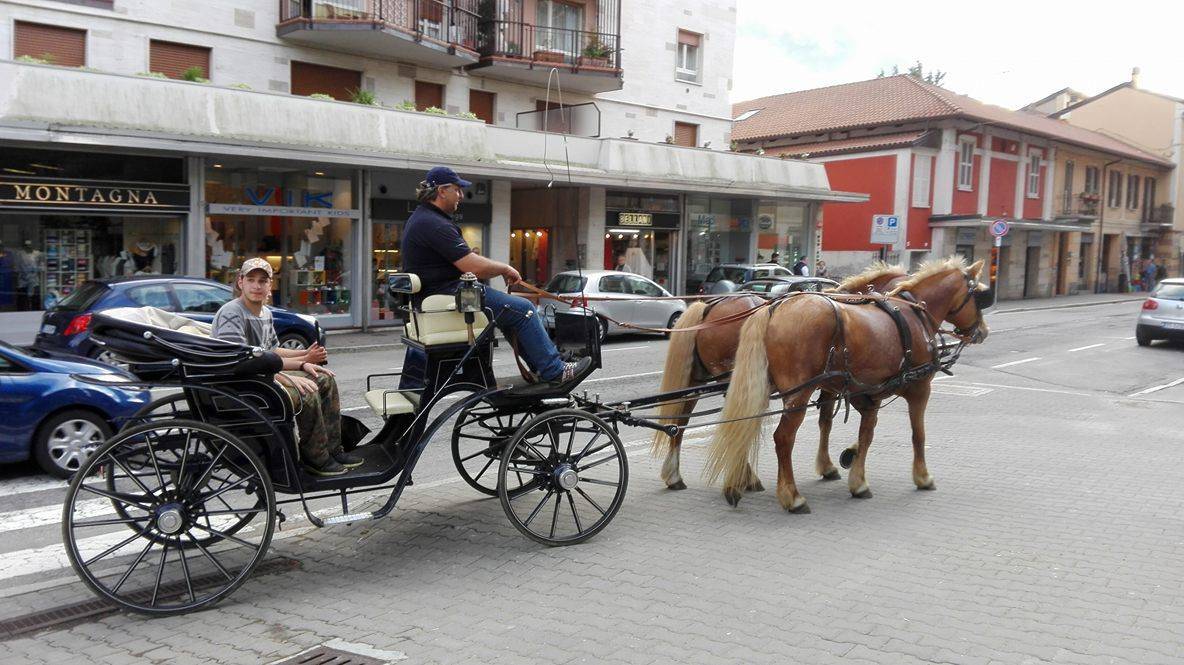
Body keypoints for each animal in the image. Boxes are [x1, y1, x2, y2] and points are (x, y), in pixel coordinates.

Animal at [653, 261, 909, 489]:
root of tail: (709, 307)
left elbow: (828, 419)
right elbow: (830, 420)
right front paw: (836, 462)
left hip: (699, 379)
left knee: (682, 419)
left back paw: (677, 475)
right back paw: (745, 477)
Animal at [700, 256, 989, 508]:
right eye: (979, 296)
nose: (983, 332)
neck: (912, 313)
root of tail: (773, 309)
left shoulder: (862, 391)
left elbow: (859, 430)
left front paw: (849, 466)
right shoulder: (918, 388)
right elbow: (916, 434)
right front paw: (921, 476)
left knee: (742, 424)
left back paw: (738, 483)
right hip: (797, 393)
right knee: (782, 438)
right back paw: (792, 497)